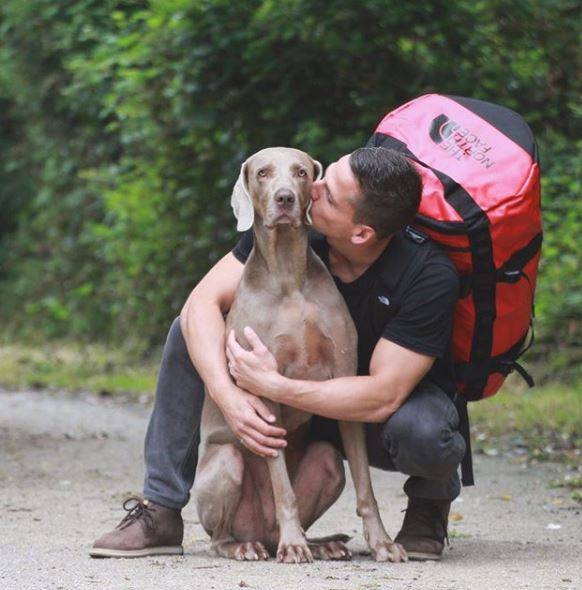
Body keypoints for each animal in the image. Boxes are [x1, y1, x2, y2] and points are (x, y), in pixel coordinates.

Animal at [194, 147, 408, 564]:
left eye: (301, 172)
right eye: (263, 172)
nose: (284, 199)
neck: (288, 276)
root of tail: (262, 532)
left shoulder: (344, 374)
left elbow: (366, 486)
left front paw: (382, 542)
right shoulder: (263, 394)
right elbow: (283, 488)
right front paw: (293, 546)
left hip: (328, 462)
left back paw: (320, 544)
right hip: (225, 462)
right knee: (219, 537)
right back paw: (254, 545)